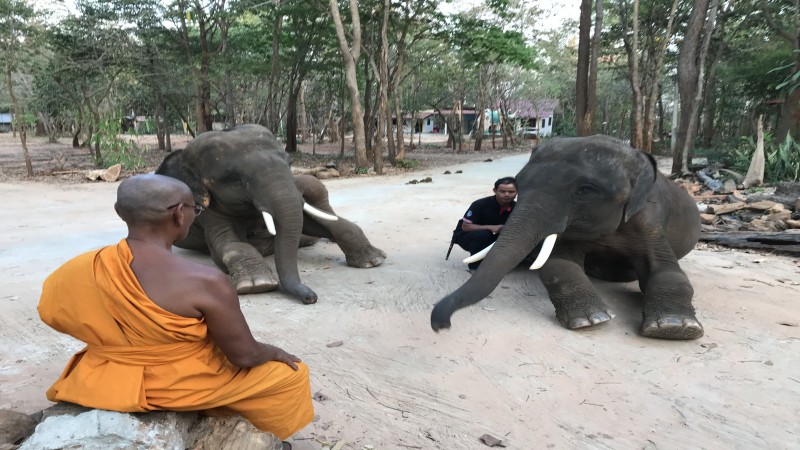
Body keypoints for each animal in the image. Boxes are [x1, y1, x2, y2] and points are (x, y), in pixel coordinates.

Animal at [155, 125, 386, 304]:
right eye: (234, 179)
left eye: (290, 163)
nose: (311, 298)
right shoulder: (207, 211)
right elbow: (229, 243)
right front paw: (258, 285)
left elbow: (317, 221)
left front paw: (374, 260)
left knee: (315, 187)